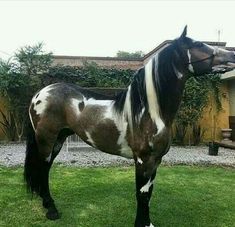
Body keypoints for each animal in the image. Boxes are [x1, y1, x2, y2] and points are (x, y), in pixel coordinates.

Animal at [23, 27, 235, 227]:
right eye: (199, 44)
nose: (232, 56)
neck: (150, 112)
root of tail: (39, 94)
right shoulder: (143, 160)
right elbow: (142, 194)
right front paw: (141, 223)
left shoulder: (155, 160)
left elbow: (148, 193)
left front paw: (147, 223)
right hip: (46, 139)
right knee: (42, 168)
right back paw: (51, 210)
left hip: (58, 139)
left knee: (45, 169)